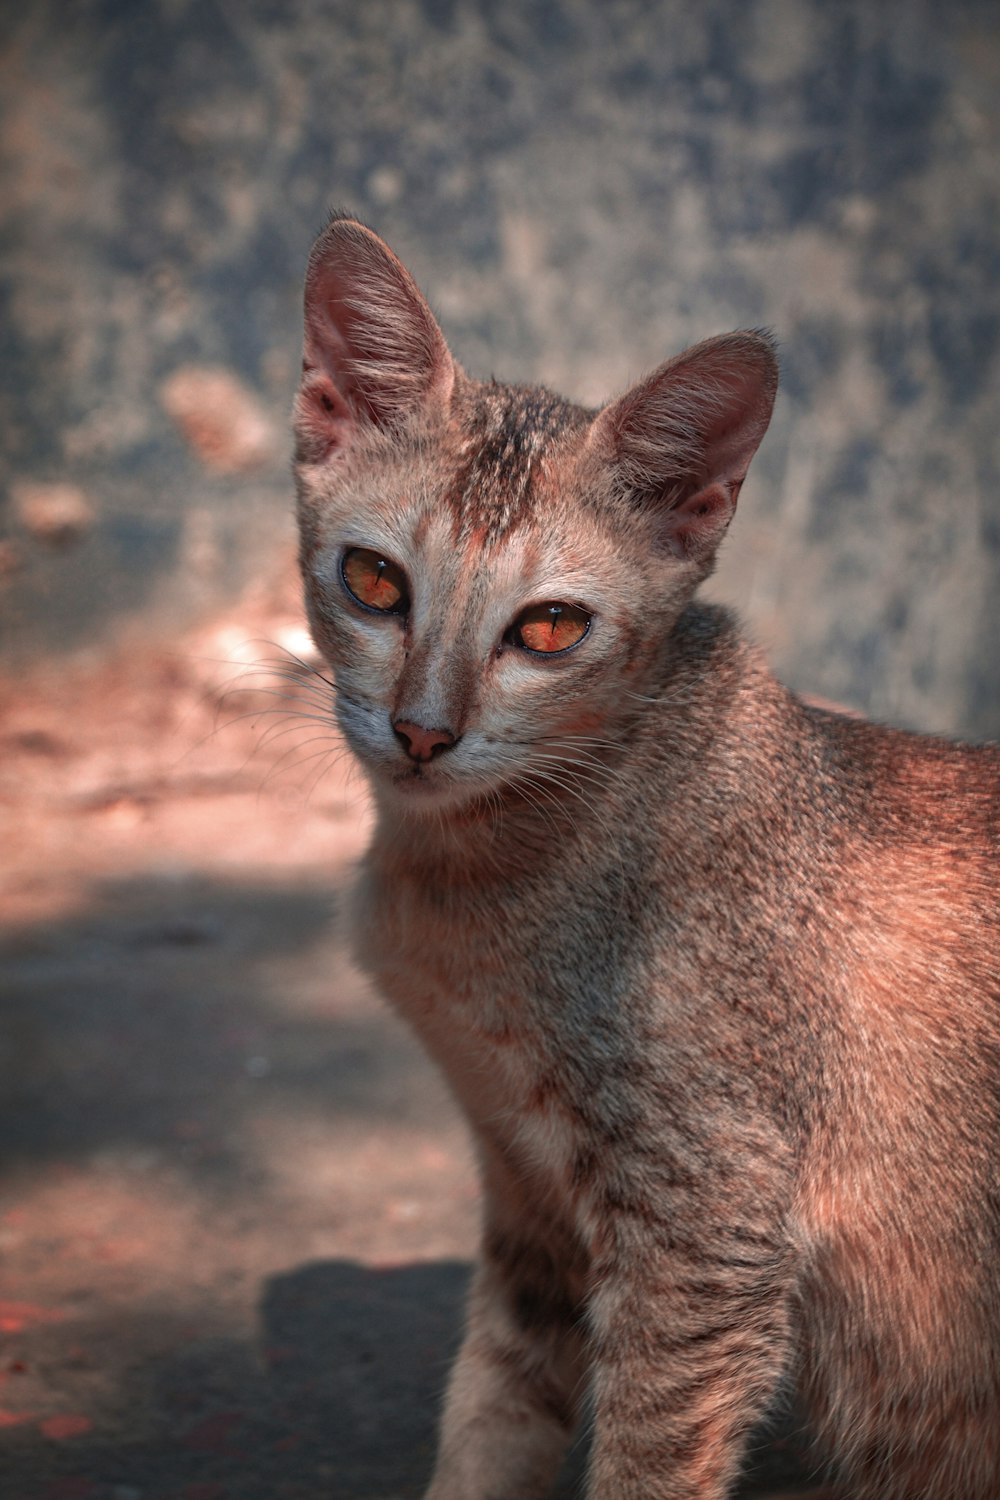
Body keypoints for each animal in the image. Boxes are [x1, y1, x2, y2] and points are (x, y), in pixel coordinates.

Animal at [289, 214, 1000, 1500]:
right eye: (373, 581)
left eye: (549, 628)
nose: (422, 731)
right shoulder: (529, 1206)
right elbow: (491, 1414)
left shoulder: (704, 1223)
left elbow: (646, 1463)